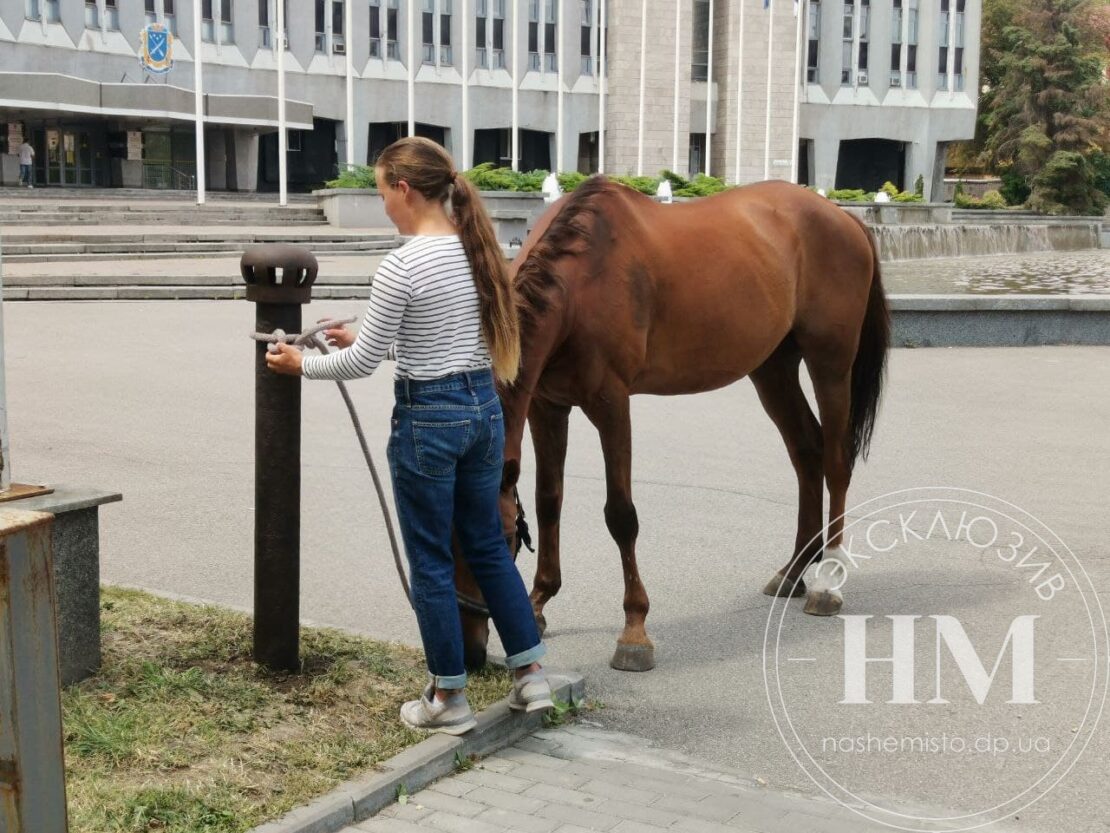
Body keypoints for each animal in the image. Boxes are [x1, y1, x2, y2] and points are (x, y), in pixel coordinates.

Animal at [455, 174, 888, 670]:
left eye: (502, 543)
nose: (471, 653)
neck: (580, 283)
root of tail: (843, 218)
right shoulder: (547, 407)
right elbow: (549, 502)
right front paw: (539, 603)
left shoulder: (610, 403)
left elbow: (621, 515)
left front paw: (634, 630)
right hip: (772, 368)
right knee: (807, 452)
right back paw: (794, 570)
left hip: (830, 364)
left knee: (836, 460)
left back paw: (827, 581)